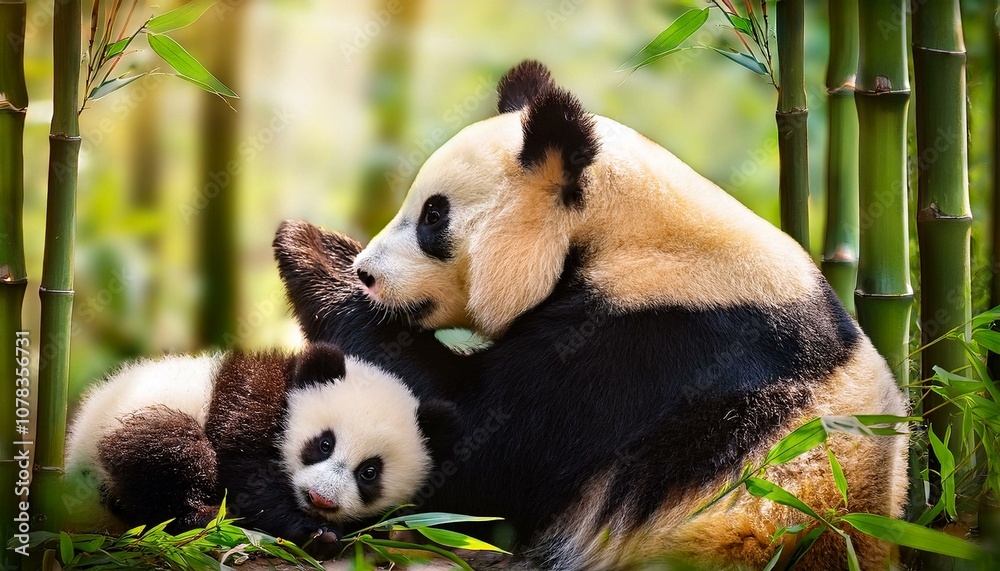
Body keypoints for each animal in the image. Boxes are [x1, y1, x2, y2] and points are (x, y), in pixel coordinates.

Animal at [64, 342, 453, 551]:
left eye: (369, 472)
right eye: (324, 444)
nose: (321, 499)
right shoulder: (251, 400)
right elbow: (245, 477)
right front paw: (316, 533)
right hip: (124, 426)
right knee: (167, 452)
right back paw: (203, 516)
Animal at [273, 60, 909, 570]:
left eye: (434, 216)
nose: (367, 273)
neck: (618, 232)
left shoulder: (654, 342)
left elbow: (478, 440)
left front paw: (307, 248)